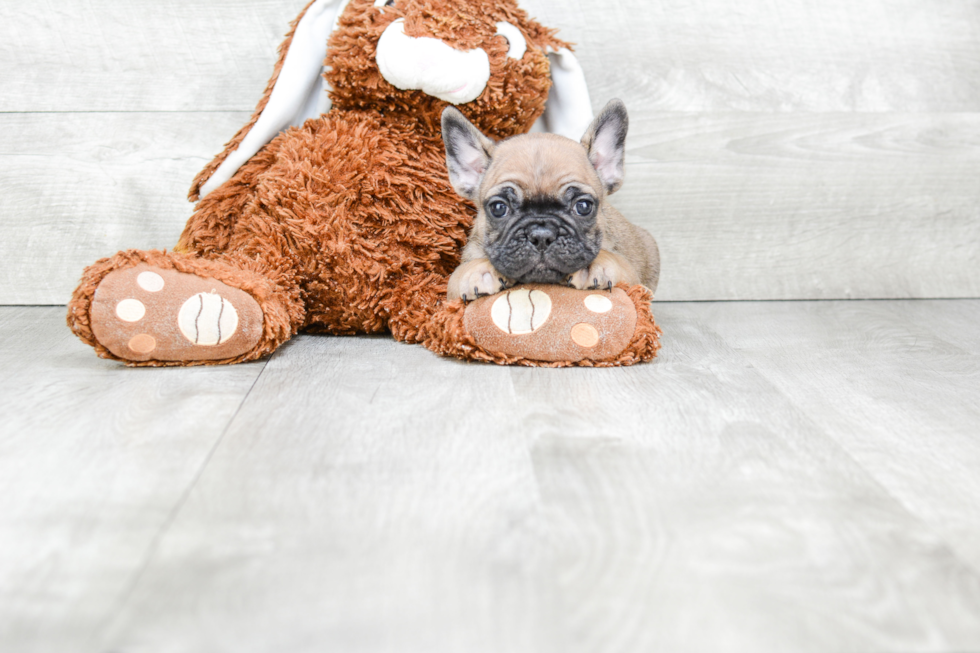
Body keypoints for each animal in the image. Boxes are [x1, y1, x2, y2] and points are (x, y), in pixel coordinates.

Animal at [442, 98, 660, 302]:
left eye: (583, 206)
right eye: (498, 208)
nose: (541, 235)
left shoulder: (629, 272)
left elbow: (617, 262)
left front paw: (594, 265)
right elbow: (456, 275)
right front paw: (478, 270)